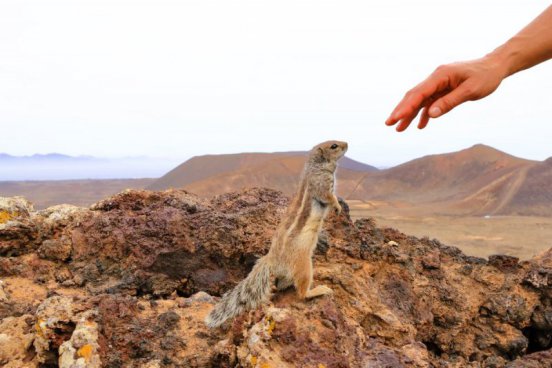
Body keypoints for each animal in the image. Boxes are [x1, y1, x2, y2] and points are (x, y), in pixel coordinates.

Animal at [205, 140, 348, 328]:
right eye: (334, 146)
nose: (347, 144)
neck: (317, 166)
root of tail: (271, 259)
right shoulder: (321, 184)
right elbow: (329, 197)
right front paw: (337, 206)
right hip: (304, 265)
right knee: (302, 291)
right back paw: (318, 290)